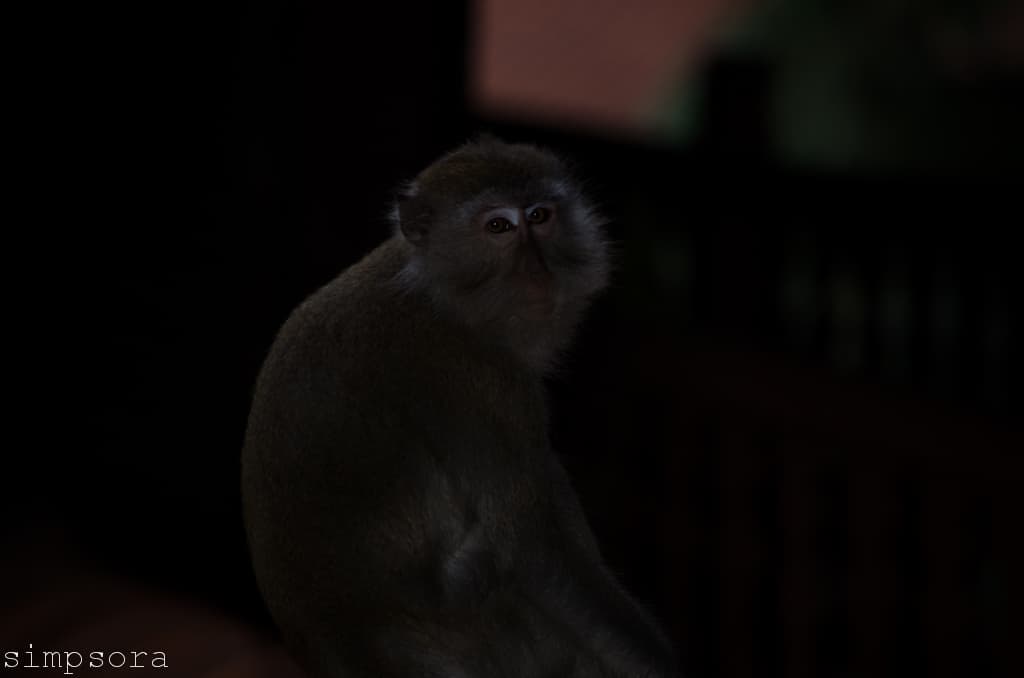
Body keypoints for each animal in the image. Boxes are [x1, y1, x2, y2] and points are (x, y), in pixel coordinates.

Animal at [241, 137, 678, 678]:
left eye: (540, 216)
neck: (438, 293)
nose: (536, 269)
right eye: (498, 227)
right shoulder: (484, 382)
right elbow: (534, 549)